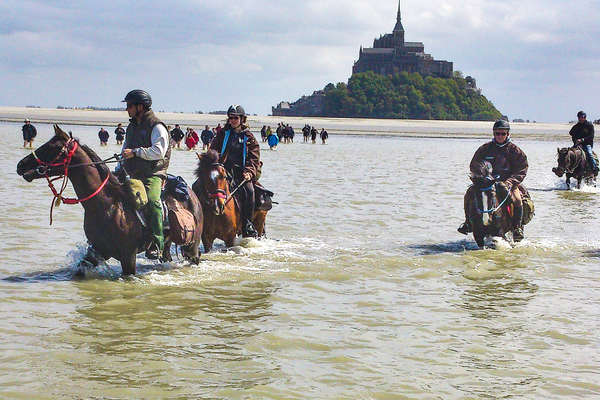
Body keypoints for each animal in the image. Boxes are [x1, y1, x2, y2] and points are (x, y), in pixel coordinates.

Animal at [15, 125, 204, 276]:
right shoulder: (97, 251)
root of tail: (192, 194)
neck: (107, 206)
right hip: (167, 245)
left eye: (50, 148)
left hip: (192, 246)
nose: (20, 165)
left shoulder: (128, 256)